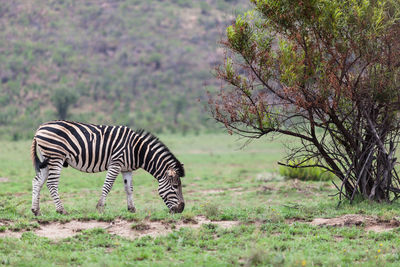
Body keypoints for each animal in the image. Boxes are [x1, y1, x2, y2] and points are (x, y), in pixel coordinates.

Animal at [30, 120, 185, 217]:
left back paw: (36, 210)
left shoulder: (126, 168)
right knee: (51, 183)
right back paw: (61, 210)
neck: (137, 150)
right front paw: (100, 207)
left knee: (37, 181)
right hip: (56, 157)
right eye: (175, 186)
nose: (181, 209)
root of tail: (39, 128)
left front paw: (132, 209)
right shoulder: (116, 163)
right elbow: (108, 185)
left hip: (47, 159)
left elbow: (129, 188)